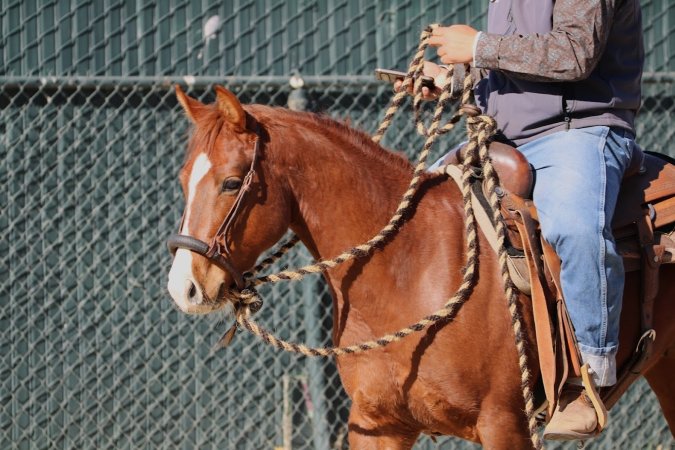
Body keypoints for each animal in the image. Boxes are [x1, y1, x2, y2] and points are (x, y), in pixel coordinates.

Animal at [166, 85, 675, 449]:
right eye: (183, 178)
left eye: (232, 182)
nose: (183, 287)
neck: (407, 269)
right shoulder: (377, 425)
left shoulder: (506, 426)